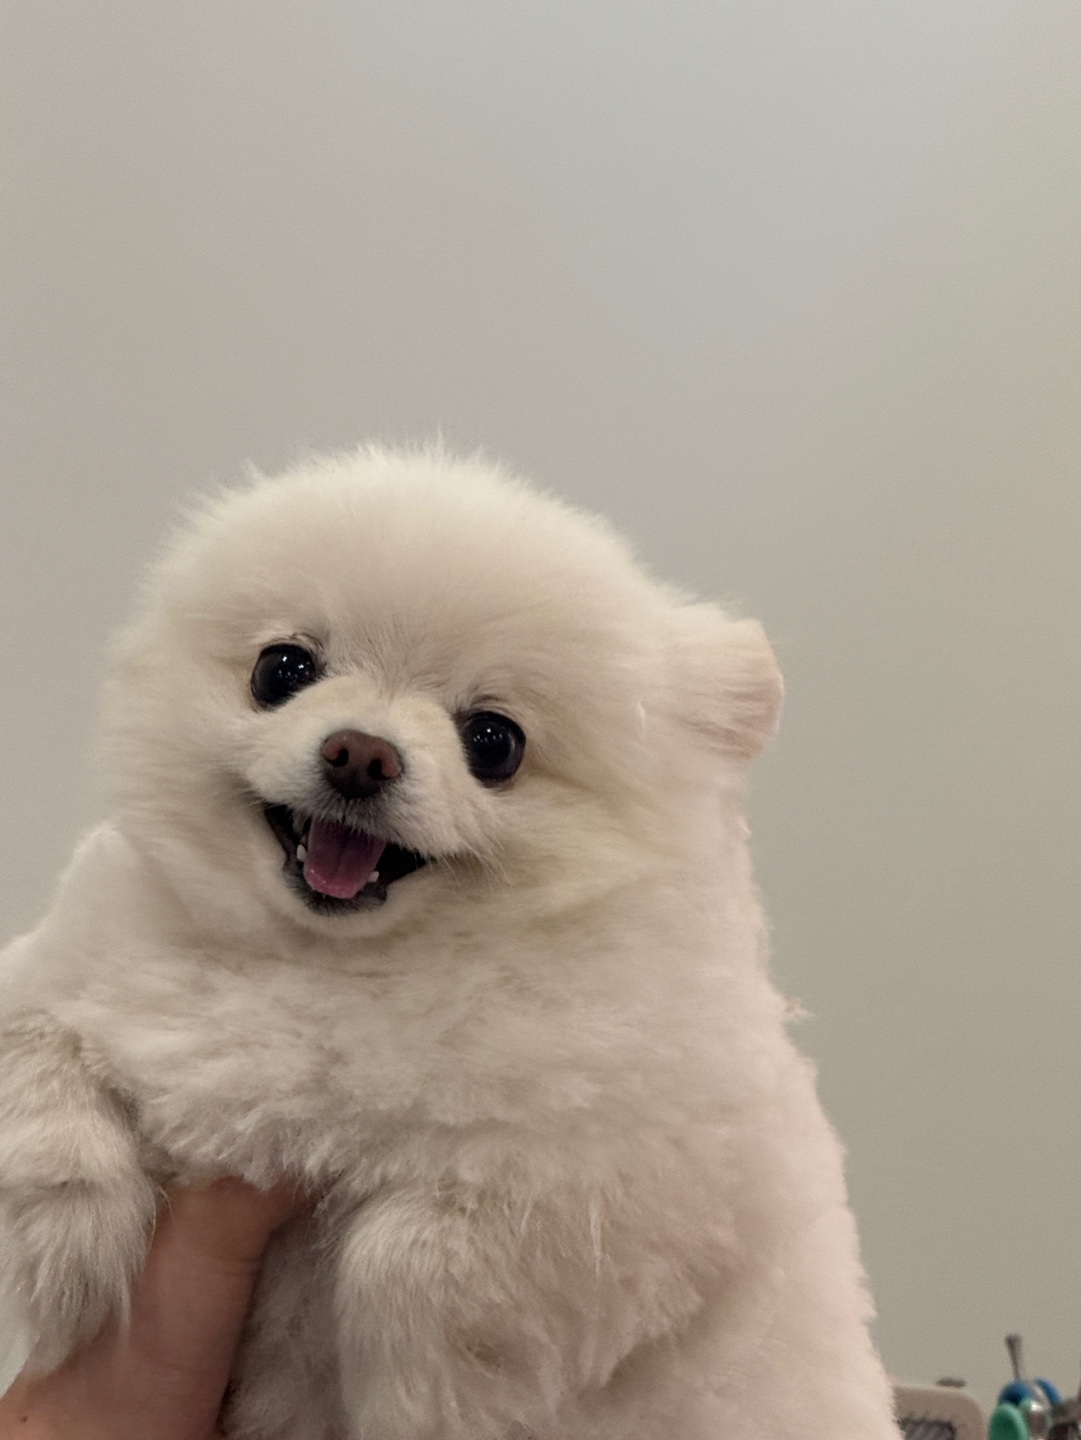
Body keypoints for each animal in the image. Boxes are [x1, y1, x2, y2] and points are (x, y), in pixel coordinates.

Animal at [0, 447, 898, 1438]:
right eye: (282, 670)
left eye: (494, 742)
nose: (360, 753)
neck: (333, 966)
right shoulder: (53, 973)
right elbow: (40, 1057)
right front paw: (62, 1244)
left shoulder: (642, 1183)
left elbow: (411, 1252)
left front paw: (418, 1404)